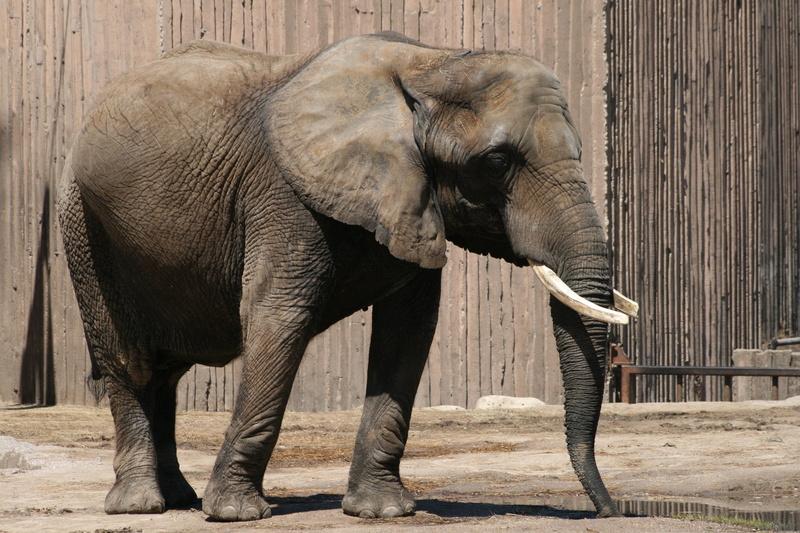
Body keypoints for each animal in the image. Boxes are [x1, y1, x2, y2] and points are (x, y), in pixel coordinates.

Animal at [57, 32, 637, 521]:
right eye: (497, 162)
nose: (609, 510)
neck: (430, 62)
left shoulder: (412, 202)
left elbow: (408, 331)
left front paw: (383, 512)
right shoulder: (282, 198)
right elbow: (280, 319)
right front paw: (236, 515)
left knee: (164, 373)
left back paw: (178, 498)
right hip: (84, 227)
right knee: (128, 362)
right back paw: (140, 505)